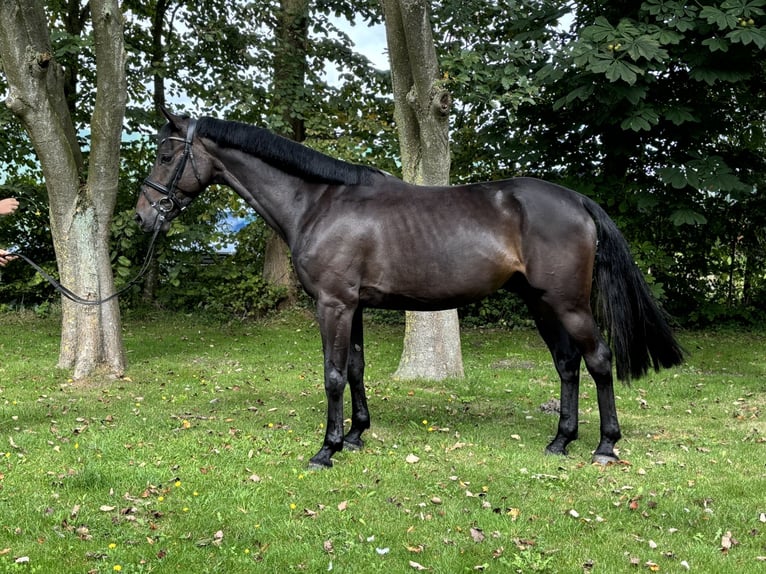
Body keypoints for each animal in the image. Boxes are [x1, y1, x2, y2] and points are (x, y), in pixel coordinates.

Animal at [135, 109, 688, 472]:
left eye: (164, 155)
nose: (143, 216)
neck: (318, 202)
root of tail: (577, 200)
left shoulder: (332, 305)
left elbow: (332, 375)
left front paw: (327, 449)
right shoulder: (353, 306)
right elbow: (355, 369)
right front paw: (357, 435)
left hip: (568, 303)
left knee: (598, 360)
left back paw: (604, 447)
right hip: (541, 303)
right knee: (567, 364)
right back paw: (560, 441)